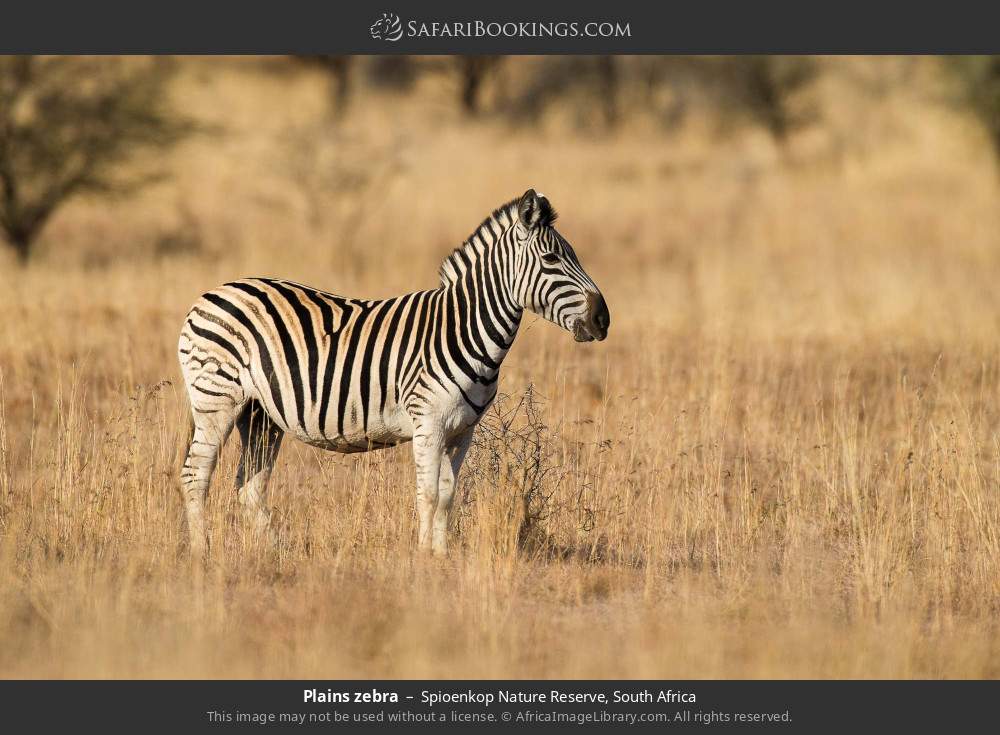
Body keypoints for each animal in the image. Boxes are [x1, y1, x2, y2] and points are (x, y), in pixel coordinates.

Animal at [177, 189, 610, 557]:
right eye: (552, 260)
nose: (603, 319)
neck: (464, 328)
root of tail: (211, 293)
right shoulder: (428, 422)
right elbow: (428, 494)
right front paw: (423, 560)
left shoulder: (462, 430)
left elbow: (448, 494)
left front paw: (441, 556)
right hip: (216, 401)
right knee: (195, 475)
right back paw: (203, 553)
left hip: (260, 415)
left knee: (249, 487)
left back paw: (274, 553)